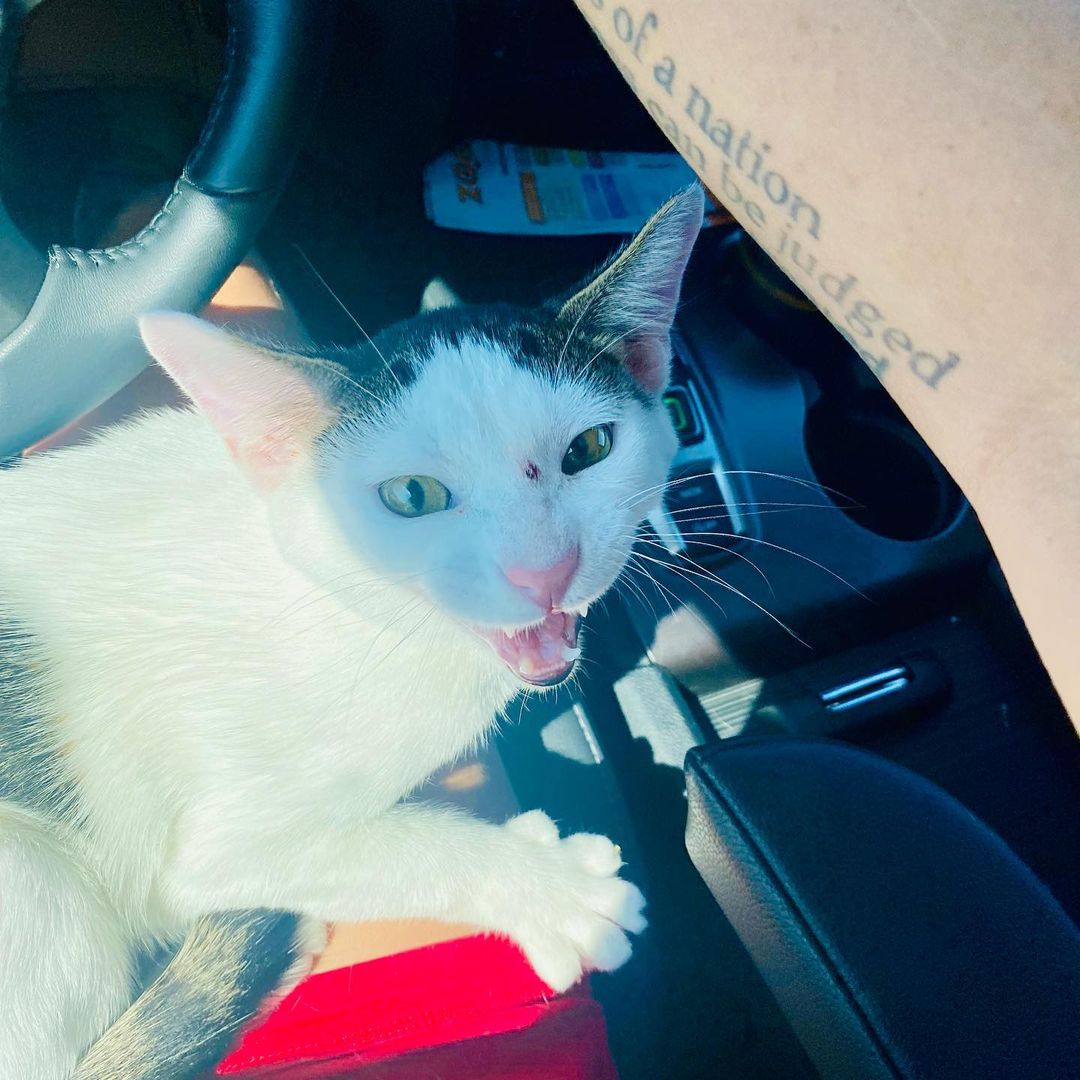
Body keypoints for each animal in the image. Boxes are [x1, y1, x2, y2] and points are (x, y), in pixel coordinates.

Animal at [0, 181, 704, 1075]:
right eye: (412, 497)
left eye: (589, 448)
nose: (544, 572)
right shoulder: (202, 837)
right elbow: (369, 846)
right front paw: (550, 888)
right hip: (37, 875)